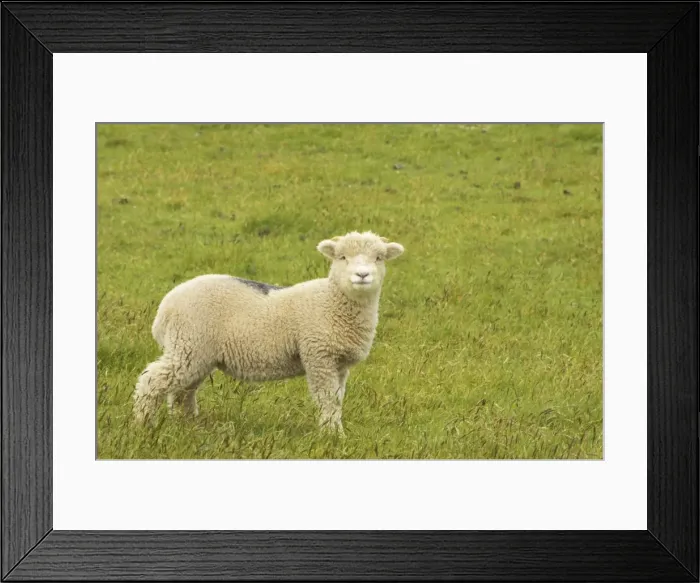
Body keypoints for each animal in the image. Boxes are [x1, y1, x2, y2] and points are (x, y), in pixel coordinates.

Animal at [133, 230, 404, 434]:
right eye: (342, 257)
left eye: (379, 258)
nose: (362, 275)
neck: (331, 301)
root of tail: (164, 309)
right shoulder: (319, 355)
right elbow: (326, 398)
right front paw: (332, 434)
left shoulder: (339, 363)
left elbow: (337, 399)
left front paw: (335, 430)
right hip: (189, 344)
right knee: (151, 380)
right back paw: (143, 423)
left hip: (197, 354)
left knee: (182, 392)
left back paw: (188, 424)